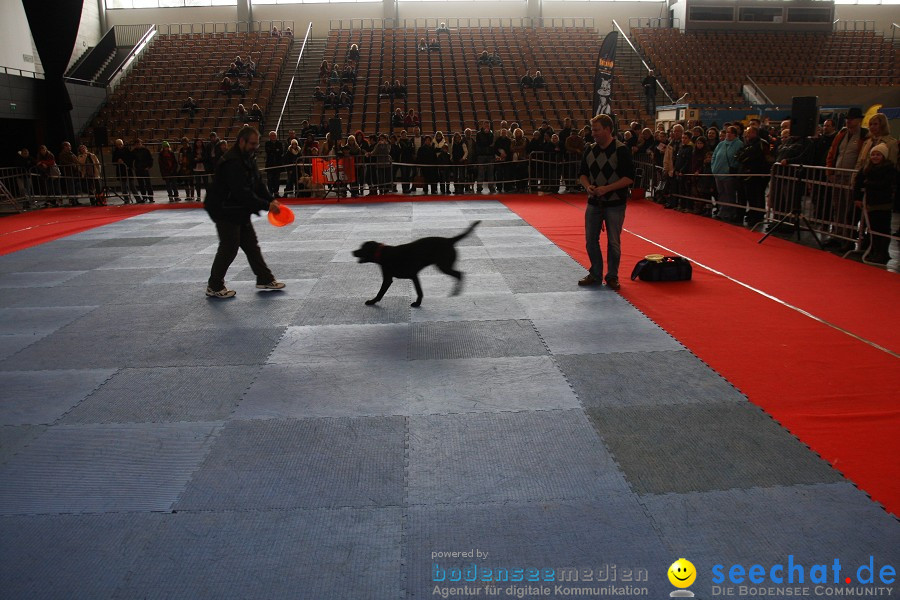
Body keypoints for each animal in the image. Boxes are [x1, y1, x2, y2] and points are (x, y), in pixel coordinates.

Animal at [352, 220, 482, 308]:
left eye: (362, 248)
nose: (352, 251)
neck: (383, 253)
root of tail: (449, 240)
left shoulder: (391, 278)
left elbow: (380, 293)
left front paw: (372, 301)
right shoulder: (414, 276)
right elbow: (419, 290)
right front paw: (418, 302)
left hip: (443, 266)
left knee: (459, 274)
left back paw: (455, 292)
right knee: (459, 274)